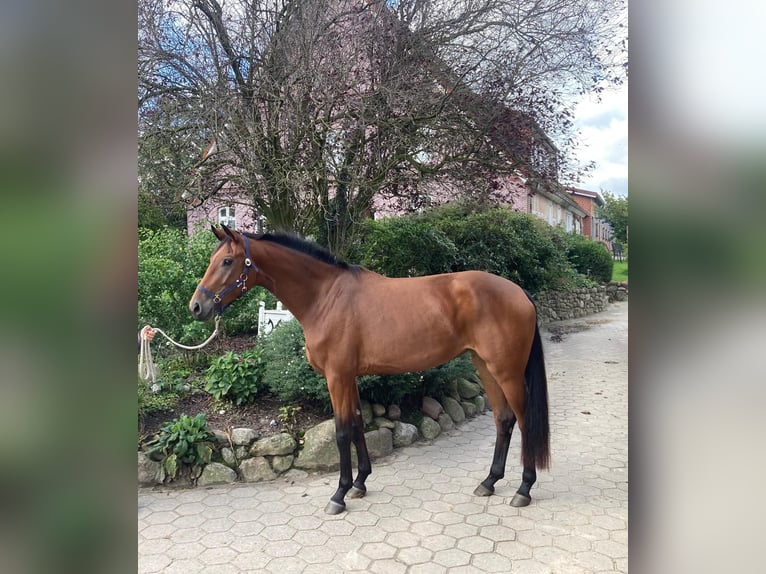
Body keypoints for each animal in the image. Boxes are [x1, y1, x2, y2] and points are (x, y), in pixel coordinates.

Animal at [192, 226, 552, 516]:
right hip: (484, 366)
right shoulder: (348, 376)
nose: (197, 306)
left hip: (507, 371)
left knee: (524, 420)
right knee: (503, 419)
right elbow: (355, 423)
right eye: (212, 259)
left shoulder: (336, 376)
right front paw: (360, 484)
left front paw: (338, 494)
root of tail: (519, 292)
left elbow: (340, 431)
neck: (326, 296)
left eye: (227, 261)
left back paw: (524, 489)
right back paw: (489, 481)